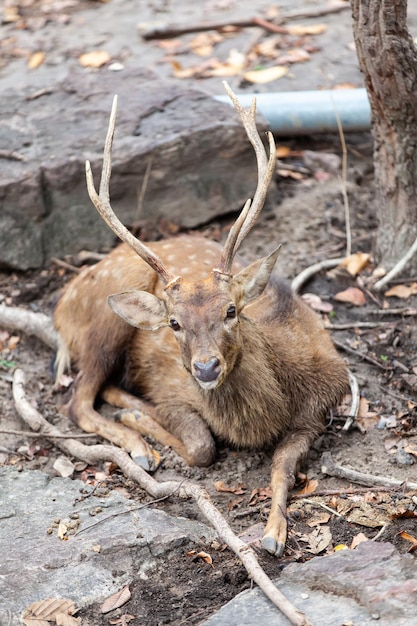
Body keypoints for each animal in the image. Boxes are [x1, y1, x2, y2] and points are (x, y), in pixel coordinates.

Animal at [53, 84, 350, 556]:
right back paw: (139, 442)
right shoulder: (173, 389)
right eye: (174, 323)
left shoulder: (323, 405)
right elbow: (201, 446)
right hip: (106, 320)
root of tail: (62, 306)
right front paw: (144, 423)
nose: (206, 367)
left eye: (231, 310)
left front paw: (273, 533)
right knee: (77, 400)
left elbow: (283, 465)